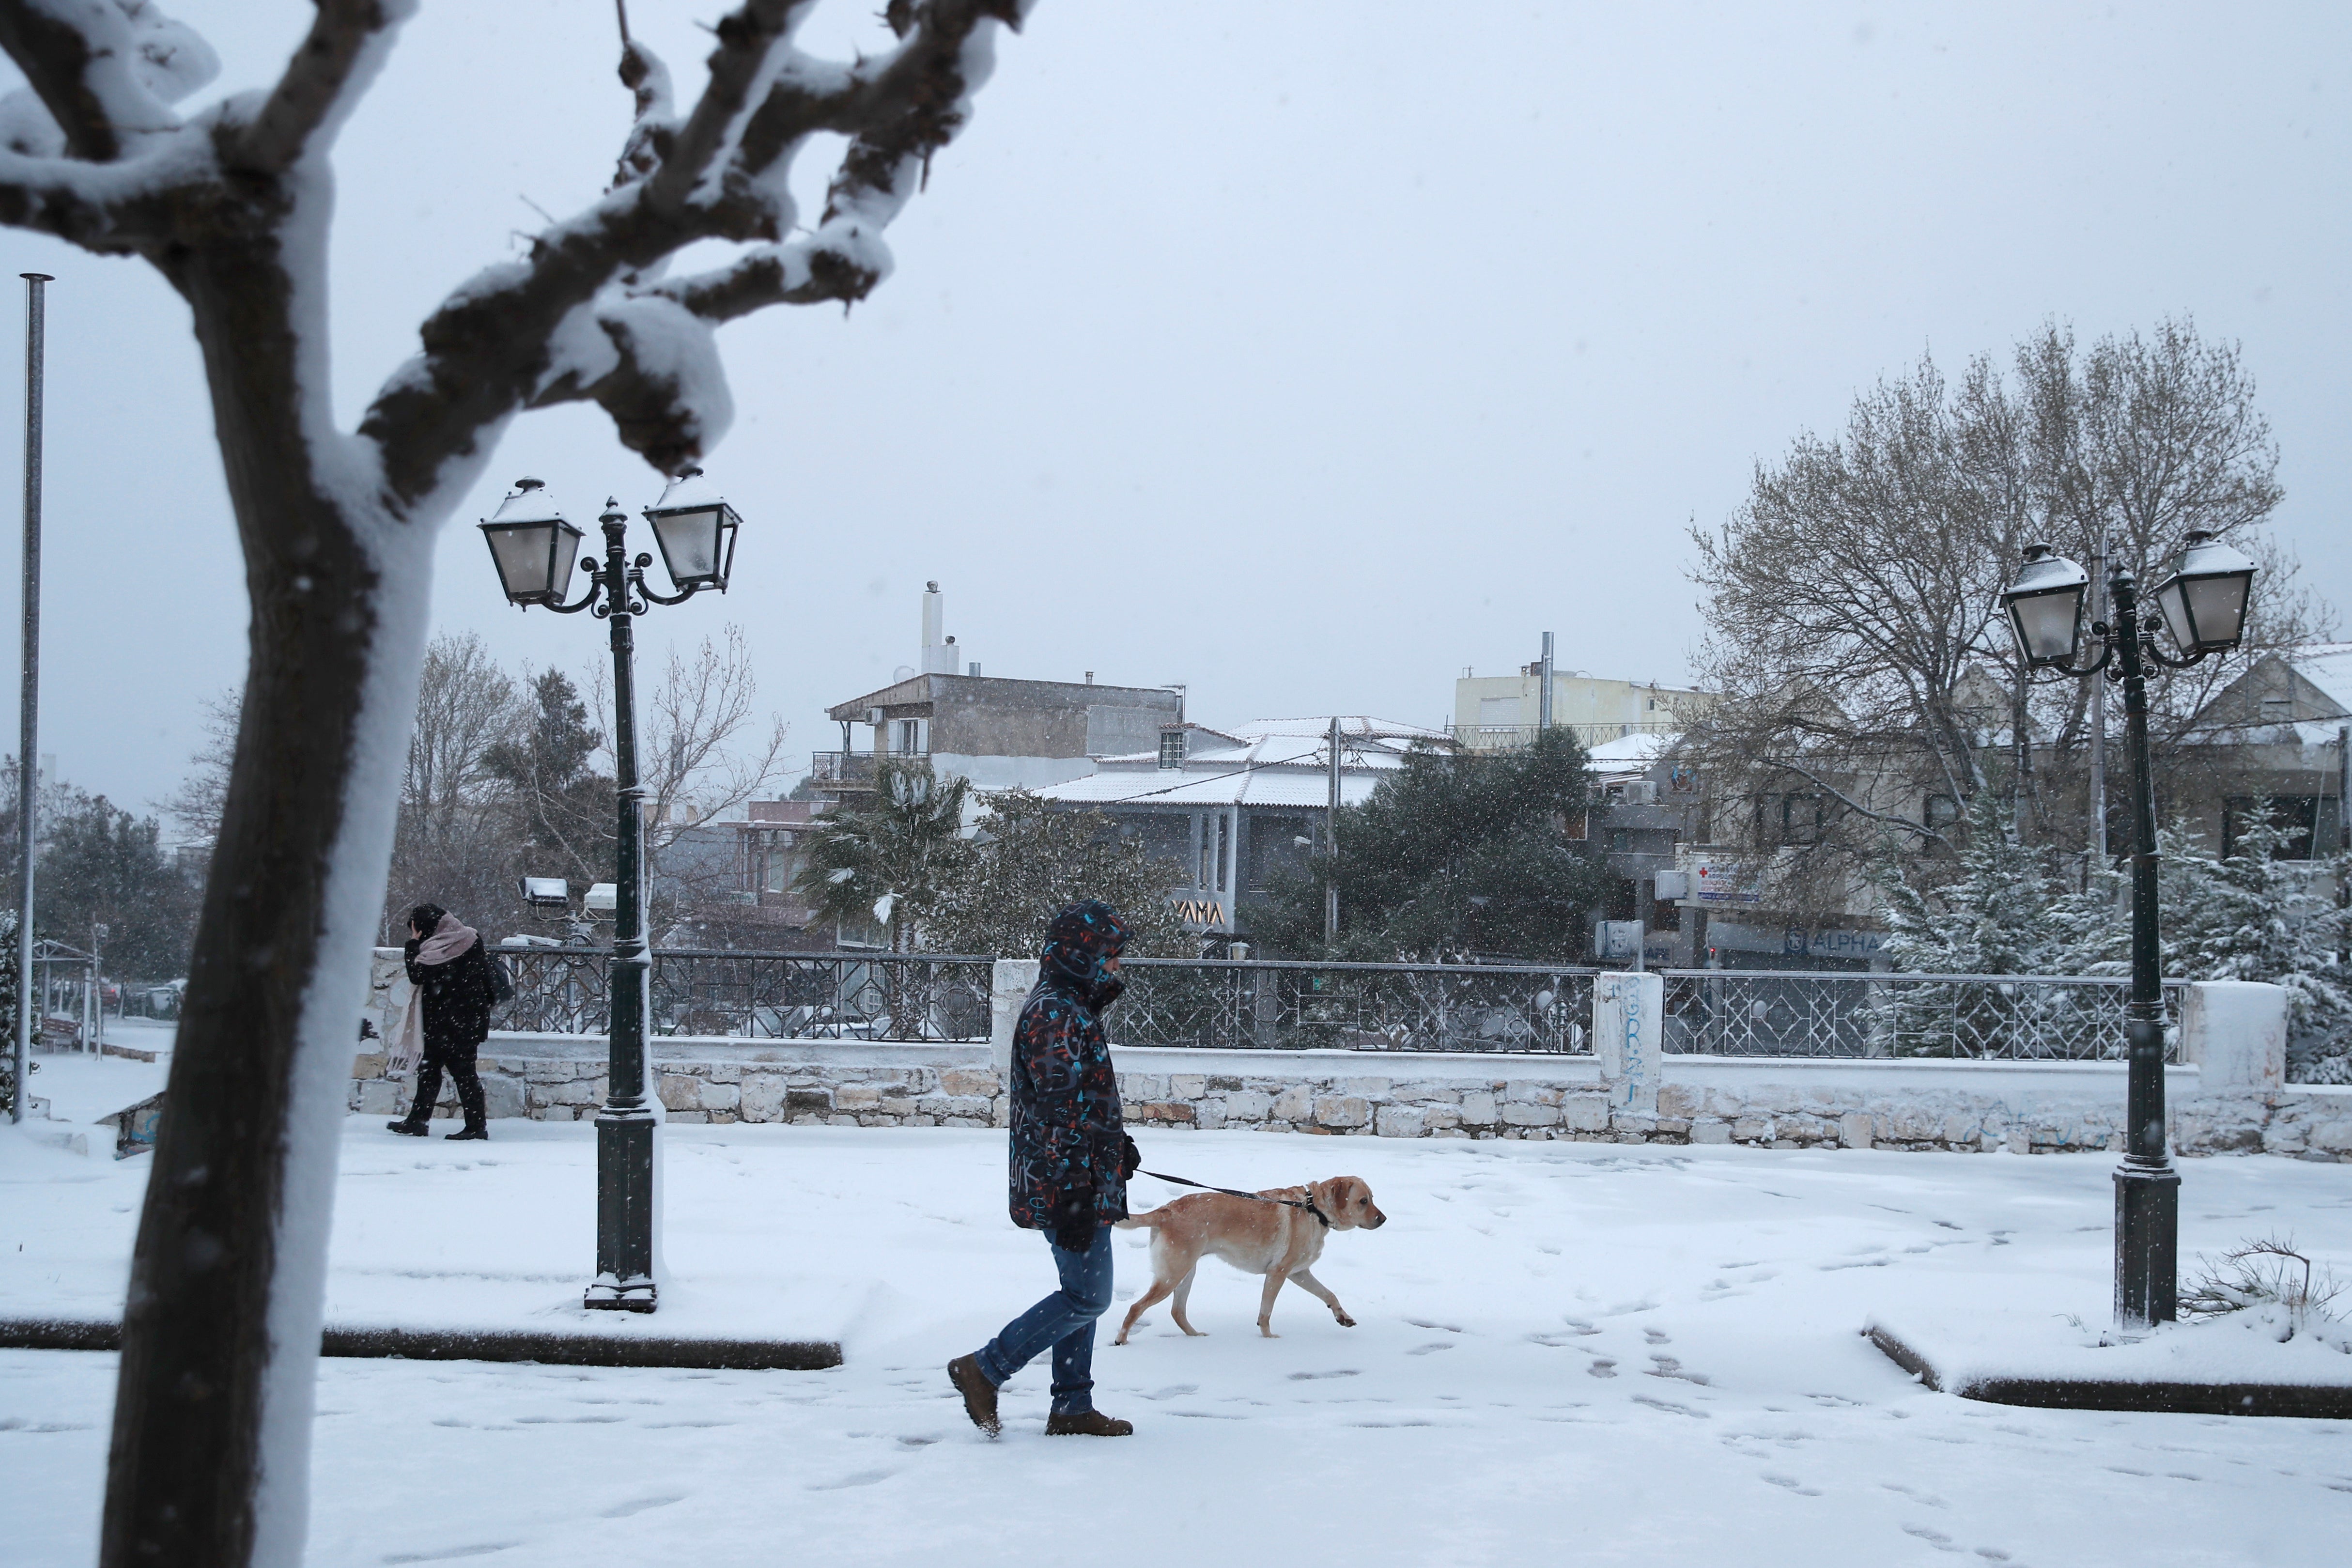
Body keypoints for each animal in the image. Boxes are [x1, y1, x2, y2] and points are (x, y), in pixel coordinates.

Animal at [1110, 1175, 1383, 1354]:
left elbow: (1329, 1294)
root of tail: (1167, 1210)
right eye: (1363, 1201)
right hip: (1173, 1274)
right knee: (1136, 1307)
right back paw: (1122, 1341)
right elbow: (1266, 1313)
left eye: (1372, 1198)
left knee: (1178, 1312)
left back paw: (1196, 1338)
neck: (1314, 1209)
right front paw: (1270, 1339)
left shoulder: (1300, 1273)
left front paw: (1343, 1317)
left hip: (1186, 1272)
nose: (1384, 1219)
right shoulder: (1278, 1273)